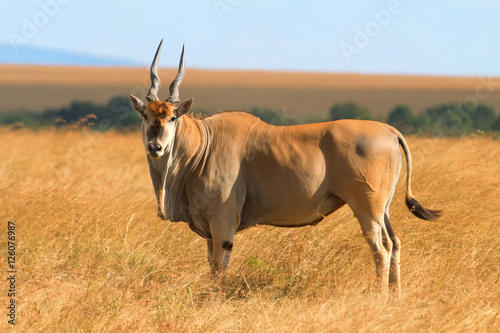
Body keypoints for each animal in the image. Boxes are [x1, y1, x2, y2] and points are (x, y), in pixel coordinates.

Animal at [130, 40, 442, 294]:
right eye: (145, 115)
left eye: (173, 117)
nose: (155, 148)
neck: (203, 145)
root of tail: (389, 130)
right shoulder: (210, 229)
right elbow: (212, 267)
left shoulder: (222, 223)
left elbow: (219, 270)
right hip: (383, 209)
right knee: (396, 243)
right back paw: (396, 297)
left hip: (368, 208)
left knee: (382, 248)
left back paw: (380, 297)